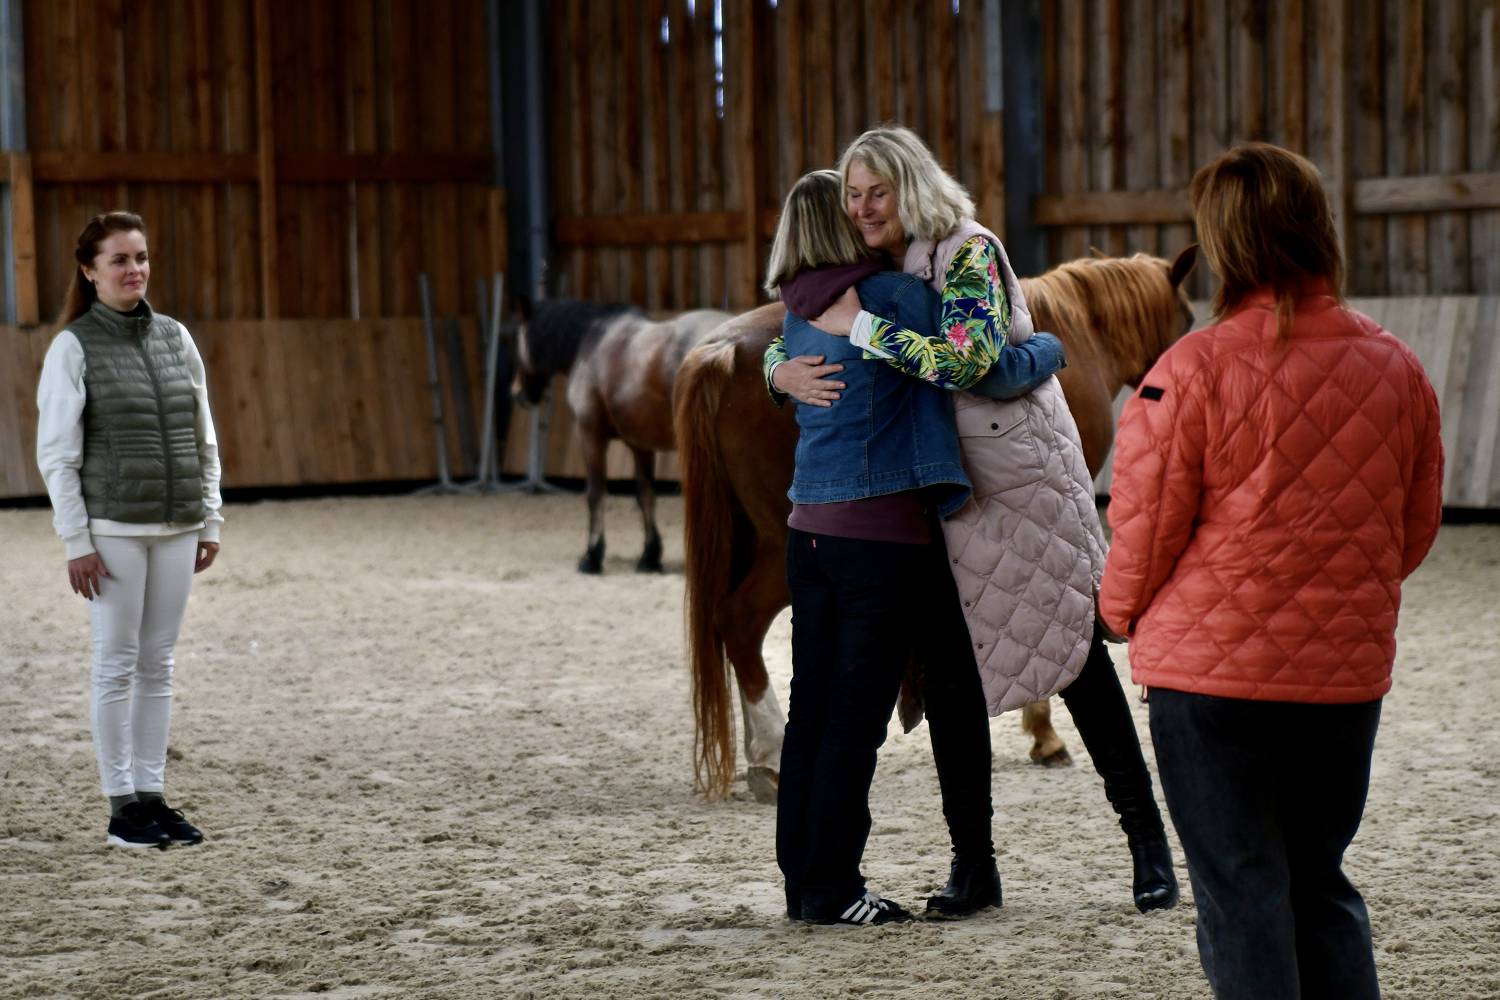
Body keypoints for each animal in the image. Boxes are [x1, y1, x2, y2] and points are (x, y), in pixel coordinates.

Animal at [513, 299, 729, 569]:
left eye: (516, 340)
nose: (517, 393)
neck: (592, 341)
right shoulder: (640, 444)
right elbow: (645, 494)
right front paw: (649, 555)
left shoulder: (590, 434)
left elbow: (595, 493)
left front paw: (592, 556)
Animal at [678, 245, 1194, 803]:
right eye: (1189, 319)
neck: (1083, 329)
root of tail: (724, 352)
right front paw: (1044, 731)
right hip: (782, 547)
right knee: (740, 620)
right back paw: (771, 754)